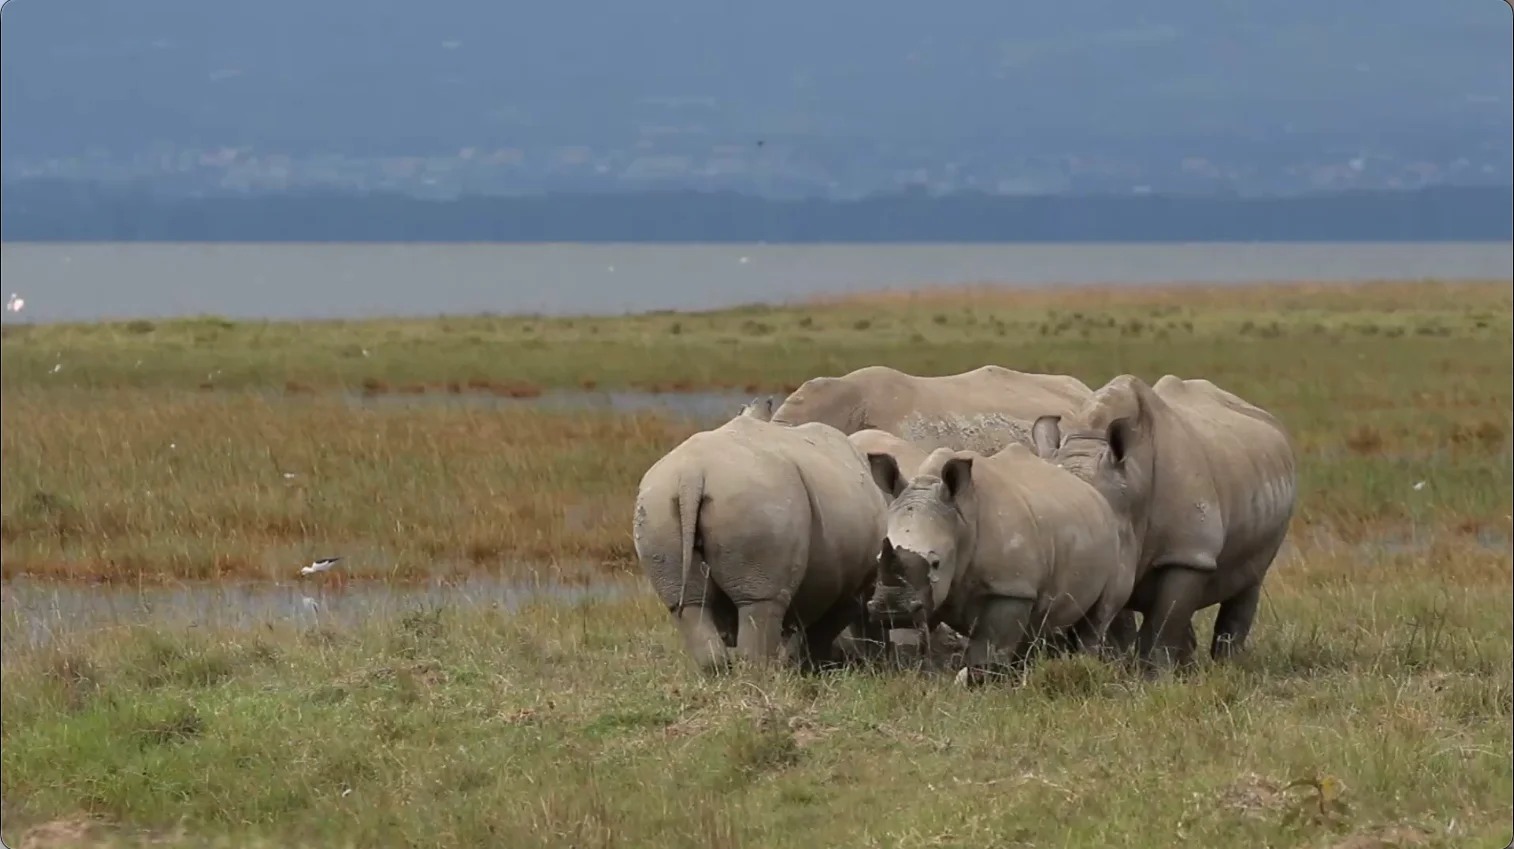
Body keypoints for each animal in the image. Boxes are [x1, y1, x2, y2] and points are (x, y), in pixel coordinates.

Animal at [632, 399, 889, 673]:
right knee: (761, 602)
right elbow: (820, 630)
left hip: (658, 501)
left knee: (689, 605)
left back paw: (719, 672)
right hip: (756, 496)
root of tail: (692, 474)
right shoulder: (850, 588)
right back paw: (761, 674)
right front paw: (811, 668)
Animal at [862, 444, 1140, 684]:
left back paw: (1084, 663)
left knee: (1098, 617)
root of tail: (1099, 497)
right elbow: (907, 638)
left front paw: (981, 687)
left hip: (1118, 541)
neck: (961, 520)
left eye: (936, 563)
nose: (889, 609)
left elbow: (988, 649)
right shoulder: (919, 595)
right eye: (878, 558)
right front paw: (907, 677)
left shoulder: (1009, 587)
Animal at [1030, 374, 1297, 674]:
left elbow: (1163, 622)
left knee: (1249, 583)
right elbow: (1123, 619)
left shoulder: (1186, 553)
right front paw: (1114, 668)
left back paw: (1226, 666)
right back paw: (1189, 669)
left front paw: (1153, 677)